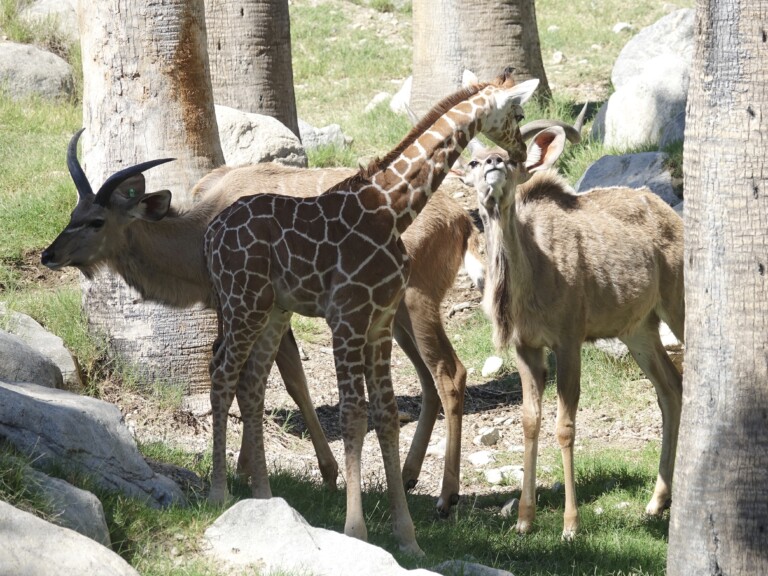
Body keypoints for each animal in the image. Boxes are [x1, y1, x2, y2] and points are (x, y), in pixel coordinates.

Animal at [204, 69, 539, 554]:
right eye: (518, 112)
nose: (518, 153)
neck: (394, 207)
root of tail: (209, 236)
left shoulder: (378, 320)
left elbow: (385, 415)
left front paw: (408, 538)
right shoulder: (346, 317)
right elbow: (352, 415)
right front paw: (355, 530)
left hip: (272, 311)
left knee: (250, 382)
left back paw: (263, 498)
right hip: (241, 302)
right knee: (222, 373)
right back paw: (217, 492)